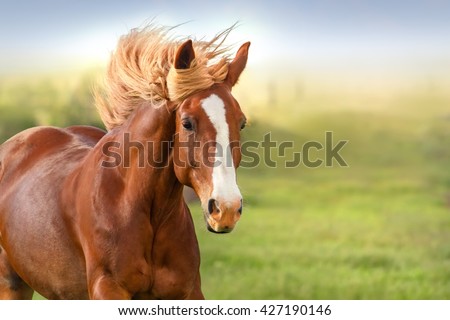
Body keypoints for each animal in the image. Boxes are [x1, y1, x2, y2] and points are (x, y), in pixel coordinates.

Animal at [0, 25, 250, 300]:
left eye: (241, 123)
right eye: (187, 123)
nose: (227, 209)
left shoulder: (189, 291)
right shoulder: (107, 288)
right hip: (12, 285)